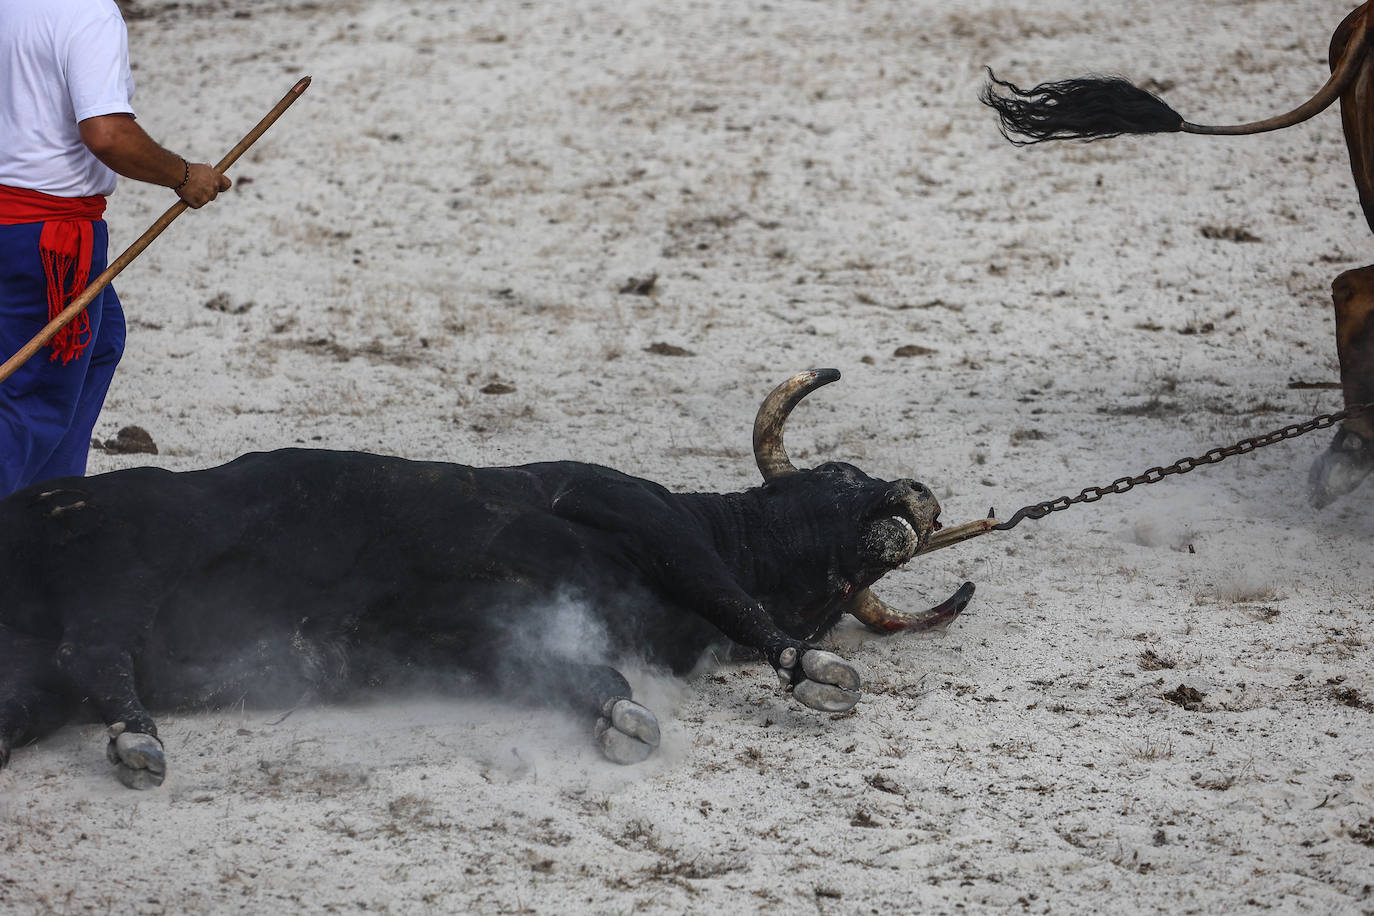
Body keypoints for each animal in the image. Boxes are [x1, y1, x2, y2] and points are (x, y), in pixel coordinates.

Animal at [0, 368, 972, 791]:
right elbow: (734, 604)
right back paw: (139, 740)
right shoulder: (639, 514)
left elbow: (587, 676)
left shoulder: (474, 641)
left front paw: (617, 717)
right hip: (131, 566)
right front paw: (816, 673)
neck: (724, 527)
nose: (919, 498)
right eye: (838, 474)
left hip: (38, 678)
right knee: (98, 650)